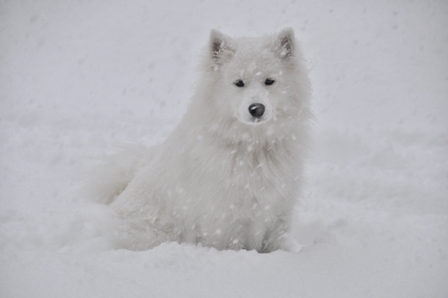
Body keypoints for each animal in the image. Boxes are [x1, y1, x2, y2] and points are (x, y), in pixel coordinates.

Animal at [90, 28, 312, 253]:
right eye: (239, 83)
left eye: (269, 81)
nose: (256, 108)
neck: (253, 147)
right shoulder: (223, 217)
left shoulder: (279, 212)